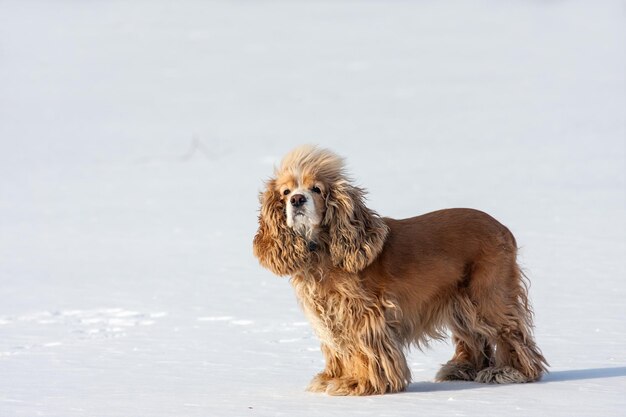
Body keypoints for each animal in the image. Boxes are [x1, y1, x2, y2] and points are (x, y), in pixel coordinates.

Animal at [251, 145, 544, 394]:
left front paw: (360, 384)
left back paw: (511, 372)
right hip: (460, 302)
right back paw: (463, 369)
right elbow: (337, 348)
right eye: (285, 192)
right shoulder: (327, 314)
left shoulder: (363, 313)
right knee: (474, 336)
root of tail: (503, 228)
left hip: (488, 295)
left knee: (512, 333)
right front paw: (334, 378)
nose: (297, 200)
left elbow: (362, 349)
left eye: (317, 189)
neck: (321, 250)